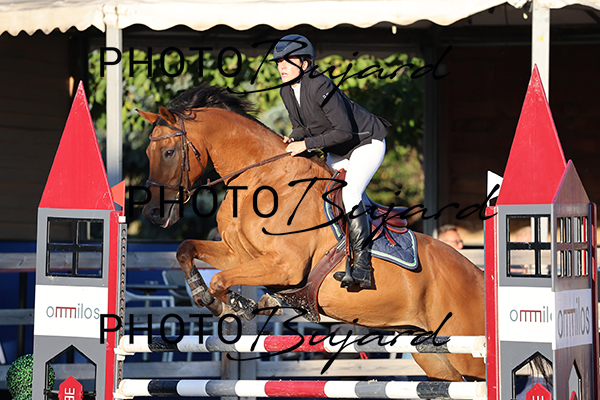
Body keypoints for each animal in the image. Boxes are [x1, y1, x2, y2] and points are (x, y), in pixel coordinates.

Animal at [138, 85, 486, 382]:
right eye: (147, 154)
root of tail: (480, 277)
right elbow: (186, 249)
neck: (261, 179)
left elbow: (221, 281)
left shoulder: (285, 266)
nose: (154, 213)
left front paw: (235, 304)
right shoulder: (238, 254)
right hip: (436, 359)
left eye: (168, 153)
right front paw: (208, 297)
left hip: (468, 353)